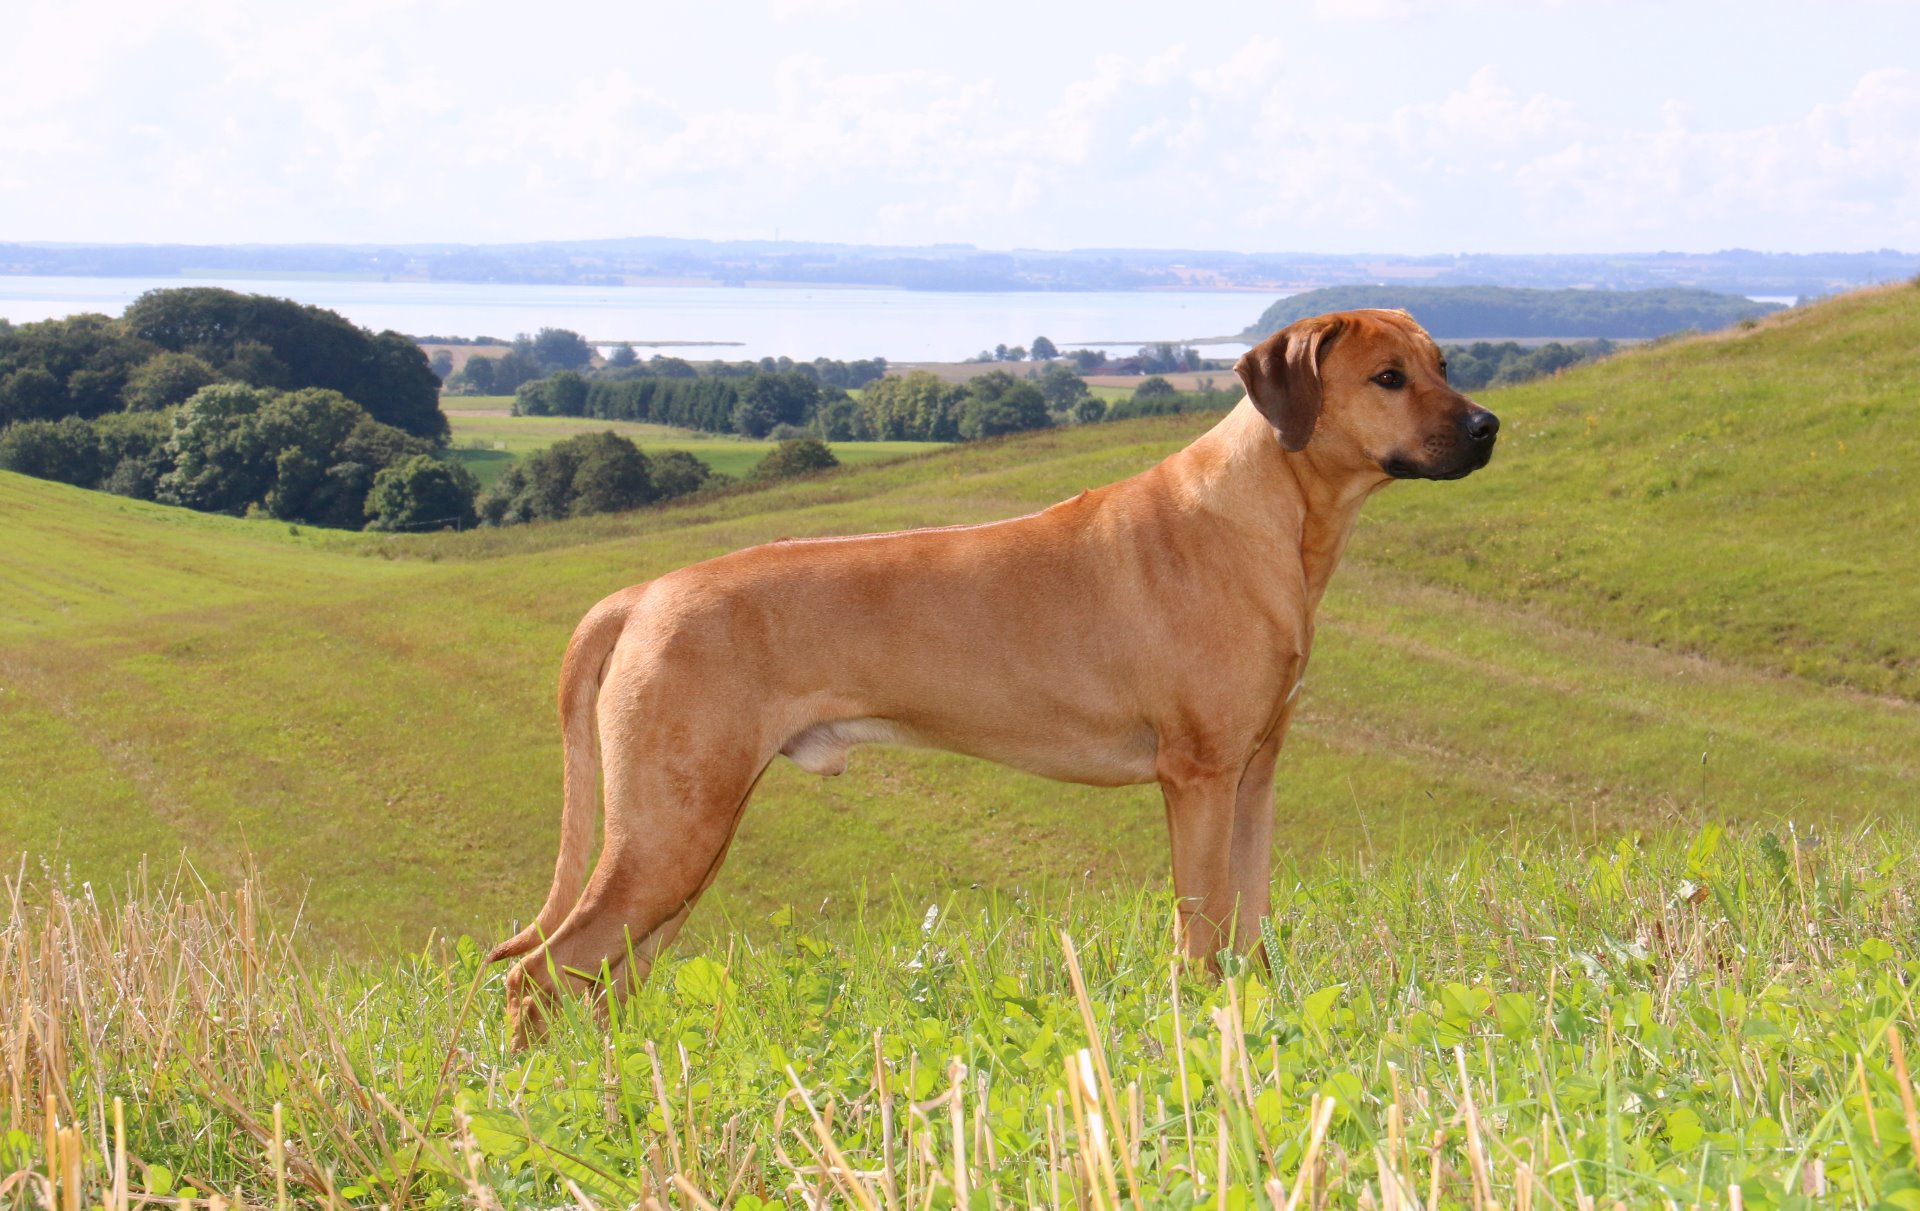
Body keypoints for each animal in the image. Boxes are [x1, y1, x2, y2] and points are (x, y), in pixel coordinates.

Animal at [491, 307, 1497, 1036]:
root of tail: (642, 593)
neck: (1265, 514)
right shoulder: (1200, 777)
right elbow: (1201, 929)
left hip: (684, 838)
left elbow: (1245, 927)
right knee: (540, 974)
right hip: (670, 829)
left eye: (1444, 361)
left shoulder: (1255, 774)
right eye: (1388, 377)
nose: (1490, 426)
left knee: (605, 976)